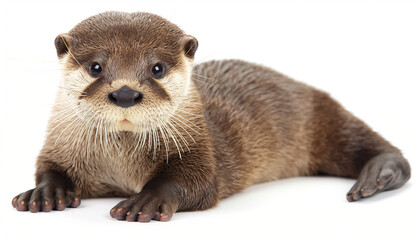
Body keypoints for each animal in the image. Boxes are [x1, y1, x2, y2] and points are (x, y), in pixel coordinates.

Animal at [10, 10, 410, 221]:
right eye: (96, 66)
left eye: (156, 68)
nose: (125, 93)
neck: (119, 165)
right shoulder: (59, 143)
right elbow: (48, 166)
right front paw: (44, 192)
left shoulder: (200, 148)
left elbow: (197, 182)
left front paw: (146, 200)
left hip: (323, 117)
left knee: (373, 146)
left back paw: (379, 175)